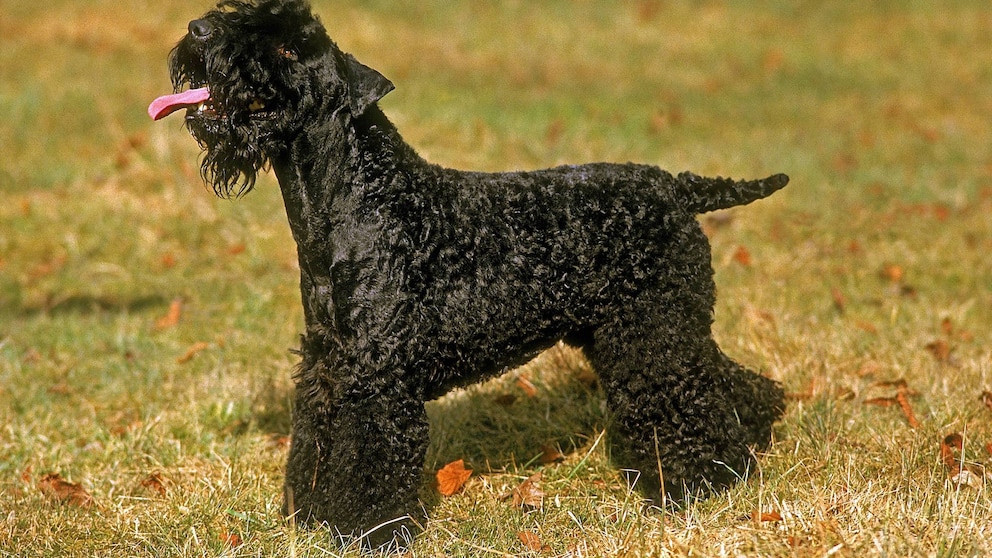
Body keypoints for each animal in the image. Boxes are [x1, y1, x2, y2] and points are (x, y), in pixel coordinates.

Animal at [153, 0, 792, 552]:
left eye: (288, 47)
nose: (199, 31)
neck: (361, 199)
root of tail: (679, 188)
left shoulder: (376, 379)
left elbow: (368, 464)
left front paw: (366, 533)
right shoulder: (326, 364)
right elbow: (315, 445)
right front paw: (310, 519)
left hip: (653, 335)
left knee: (694, 399)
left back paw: (699, 483)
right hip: (639, 334)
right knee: (733, 382)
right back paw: (745, 447)